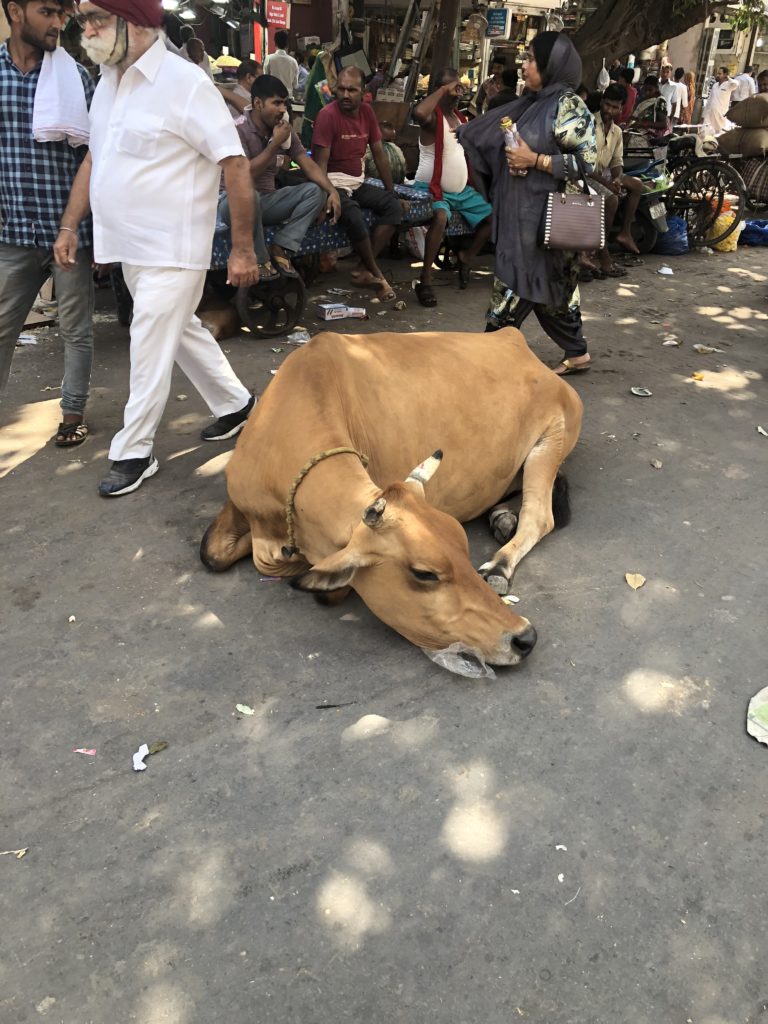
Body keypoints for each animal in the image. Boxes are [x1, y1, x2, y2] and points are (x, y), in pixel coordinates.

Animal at [199, 323, 581, 667]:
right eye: (424, 574)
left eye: (463, 547)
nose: (524, 637)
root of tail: (516, 343)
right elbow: (212, 555)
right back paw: (502, 515)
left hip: (553, 437)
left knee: (540, 516)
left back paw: (501, 562)